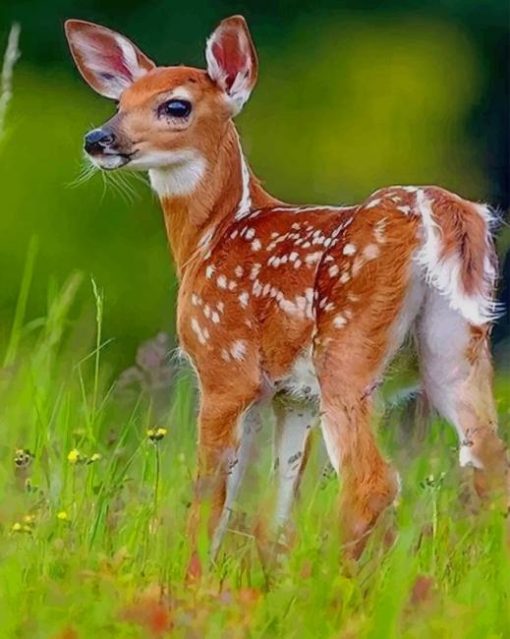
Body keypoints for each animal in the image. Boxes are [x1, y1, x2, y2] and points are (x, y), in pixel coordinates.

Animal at [65, 15, 508, 564]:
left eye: (176, 105)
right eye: (120, 103)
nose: (97, 138)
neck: (210, 237)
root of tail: (439, 211)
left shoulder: (225, 366)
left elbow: (211, 496)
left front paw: (191, 575)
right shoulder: (291, 395)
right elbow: (277, 502)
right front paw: (266, 571)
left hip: (346, 347)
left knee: (372, 480)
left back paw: (327, 575)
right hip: (457, 349)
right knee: (489, 465)